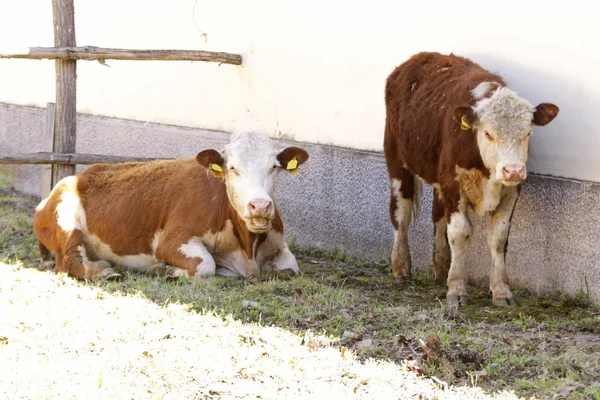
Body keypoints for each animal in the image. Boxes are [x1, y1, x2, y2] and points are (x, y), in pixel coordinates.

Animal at [33, 130, 310, 278]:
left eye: (274, 167)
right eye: (233, 168)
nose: (260, 206)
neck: (246, 246)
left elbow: (290, 267)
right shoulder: (171, 241)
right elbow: (206, 265)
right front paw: (164, 269)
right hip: (65, 217)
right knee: (70, 261)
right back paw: (104, 271)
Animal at [382, 52, 560, 306]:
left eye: (527, 133)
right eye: (488, 133)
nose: (513, 170)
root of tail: (416, 58)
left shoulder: (512, 190)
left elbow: (498, 237)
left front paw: (501, 290)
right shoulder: (452, 183)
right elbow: (459, 232)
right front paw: (456, 289)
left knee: (437, 216)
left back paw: (441, 268)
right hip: (397, 161)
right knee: (400, 214)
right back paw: (401, 269)